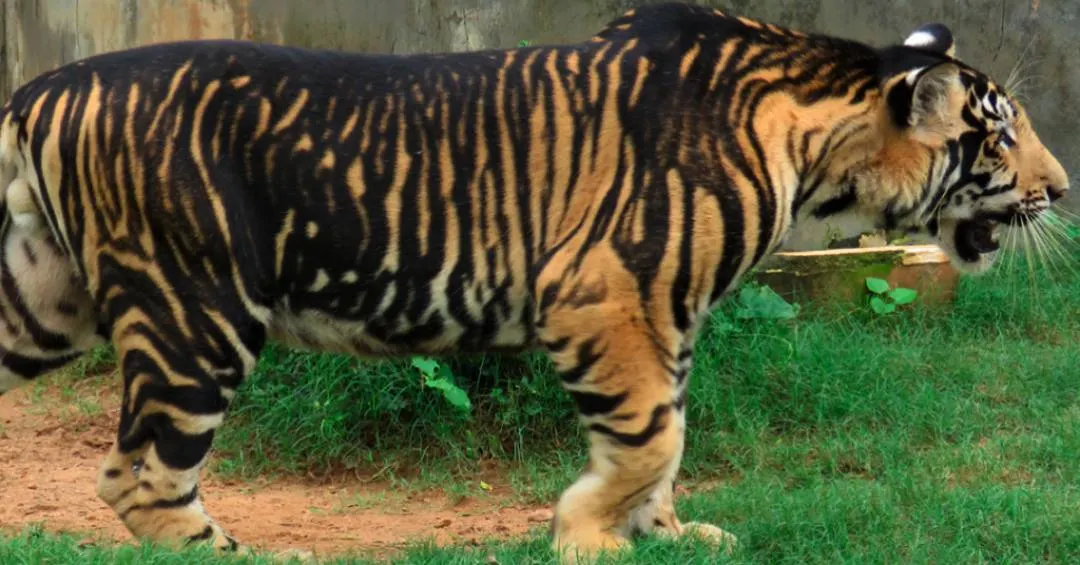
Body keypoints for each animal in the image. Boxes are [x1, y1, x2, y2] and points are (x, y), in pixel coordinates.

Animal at [0, 2, 1068, 563]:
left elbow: (669, 436)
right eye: (1002, 134)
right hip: (197, 311)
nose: (1062, 189)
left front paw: (672, 533)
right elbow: (651, 435)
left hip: (43, 302)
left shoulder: (668, 315)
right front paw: (590, 538)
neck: (815, 141)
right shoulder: (609, 295)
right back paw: (251, 558)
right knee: (140, 473)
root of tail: (40, 86)